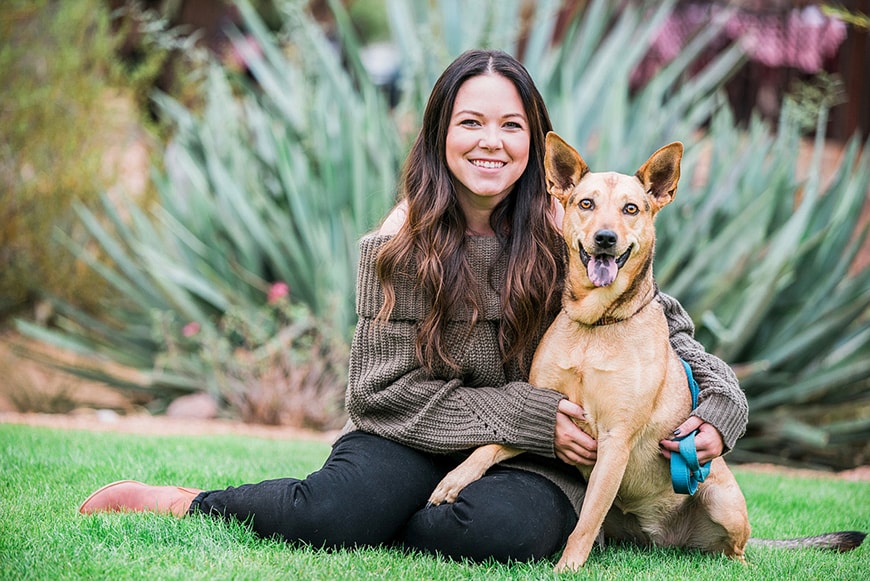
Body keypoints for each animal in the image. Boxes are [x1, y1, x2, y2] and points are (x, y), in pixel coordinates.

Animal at [432, 131, 868, 572]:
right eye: (586, 203)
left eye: (631, 208)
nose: (605, 239)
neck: (596, 325)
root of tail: (666, 540)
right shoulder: (545, 412)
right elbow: (492, 445)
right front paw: (453, 480)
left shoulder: (615, 441)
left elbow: (584, 523)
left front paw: (566, 569)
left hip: (721, 498)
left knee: (739, 551)